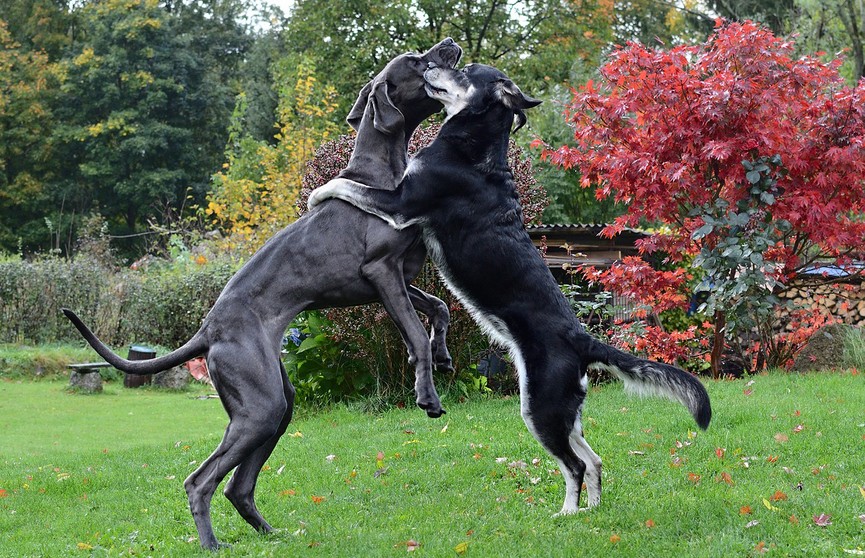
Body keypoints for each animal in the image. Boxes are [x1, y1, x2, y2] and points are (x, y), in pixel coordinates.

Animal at [64, 38, 462, 552]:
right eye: (417, 62)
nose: (449, 45)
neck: (379, 175)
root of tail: (207, 330)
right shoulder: (381, 272)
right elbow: (413, 333)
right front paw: (427, 395)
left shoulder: (395, 279)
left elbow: (439, 307)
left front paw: (445, 354)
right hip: (259, 405)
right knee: (200, 481)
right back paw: (212, 545)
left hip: (275, 403)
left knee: (238, 484)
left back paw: (272, 534)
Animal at [308, 64, 712, 516]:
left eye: (465, 71)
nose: (430, 65)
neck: (476, 144)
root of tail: (582, 339)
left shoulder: (401, 201)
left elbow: (350, 187)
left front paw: (317, 192)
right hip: (565, 412)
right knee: (593, 460)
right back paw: (590, 510)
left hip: (540, 407)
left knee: (574, 465)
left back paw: (567, 513)